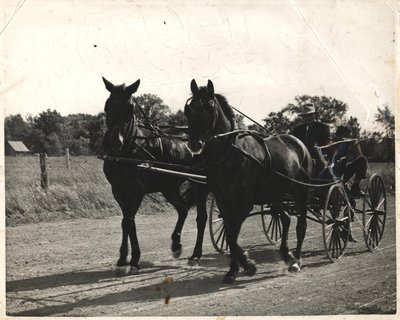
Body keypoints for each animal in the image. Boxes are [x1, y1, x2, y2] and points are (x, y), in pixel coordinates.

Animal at [101, 76, 208, 274]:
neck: (127, 151)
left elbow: (129, 221)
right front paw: (122, 258)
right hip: (169, 187)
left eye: (130, 107)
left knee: (201, 217)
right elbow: (125, 221)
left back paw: (195, 255)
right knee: (182, 209)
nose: (114, 141)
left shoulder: (137, 189)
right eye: (108, 104)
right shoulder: (118, 190)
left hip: (200, 183)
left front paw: (134, 260)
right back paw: (176, 244)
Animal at [184, 79, 312, 282]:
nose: (194, 144)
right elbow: (229, 232)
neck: (229, 153)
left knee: (301, 225)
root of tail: (298, 142)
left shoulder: (245, 203)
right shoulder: (223, 200)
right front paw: (233, 270)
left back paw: (296, 261)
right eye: (188, 110)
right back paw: (286, 254)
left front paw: (247, 264)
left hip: (301, 191)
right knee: (285, 217)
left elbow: (232, 234)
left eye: (210, 107)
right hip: (275, 194)